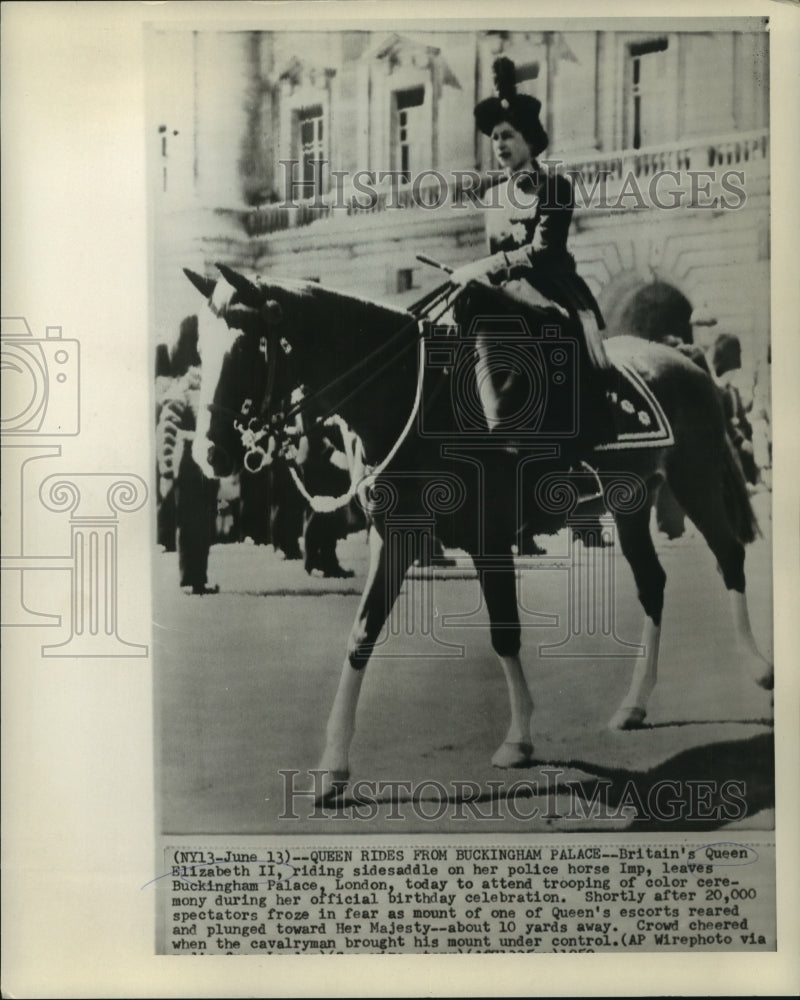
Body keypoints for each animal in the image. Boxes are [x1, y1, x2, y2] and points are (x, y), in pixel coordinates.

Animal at [184, 262, 772, 800]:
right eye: (201, 351)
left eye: (246, 348)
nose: (209, 453)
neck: (415, 396)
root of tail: (685, 362)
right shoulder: (395, 537)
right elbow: (361, 635)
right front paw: (333, 766)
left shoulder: (488, 539)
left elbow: (504, 631)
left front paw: (518, 738)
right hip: (632, 504)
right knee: (653, 583)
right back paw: (635, 703)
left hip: (695, 480)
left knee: (729, 557)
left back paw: (758, 669)